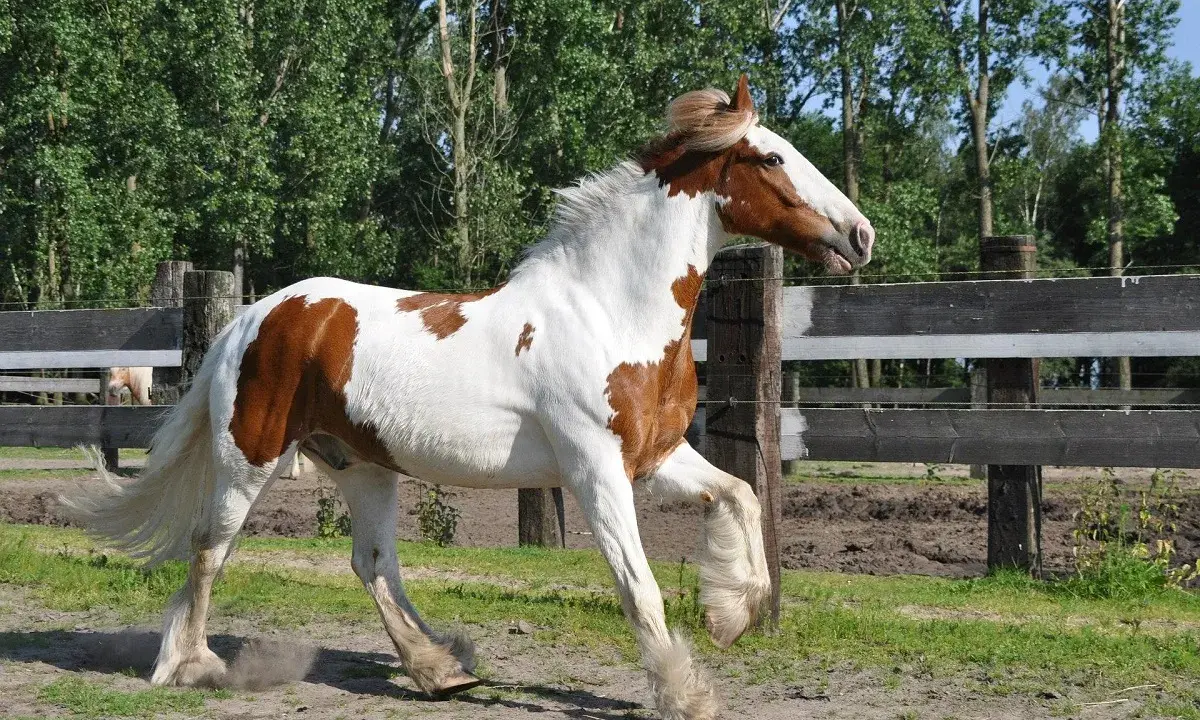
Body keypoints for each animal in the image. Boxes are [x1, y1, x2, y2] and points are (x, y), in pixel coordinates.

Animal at [63, 75, 873, 720]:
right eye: (772, 158)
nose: (861, 235)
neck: (609, 310)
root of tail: (253, 317)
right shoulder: (594, 470)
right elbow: (638, 584)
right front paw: (686, 691)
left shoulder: (654, 456)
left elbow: (741, 493)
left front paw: (731, 614)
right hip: (251, 457)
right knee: (210, 549)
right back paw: (192, 665)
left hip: (363, 466)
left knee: (373, 562)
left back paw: (441, 670)